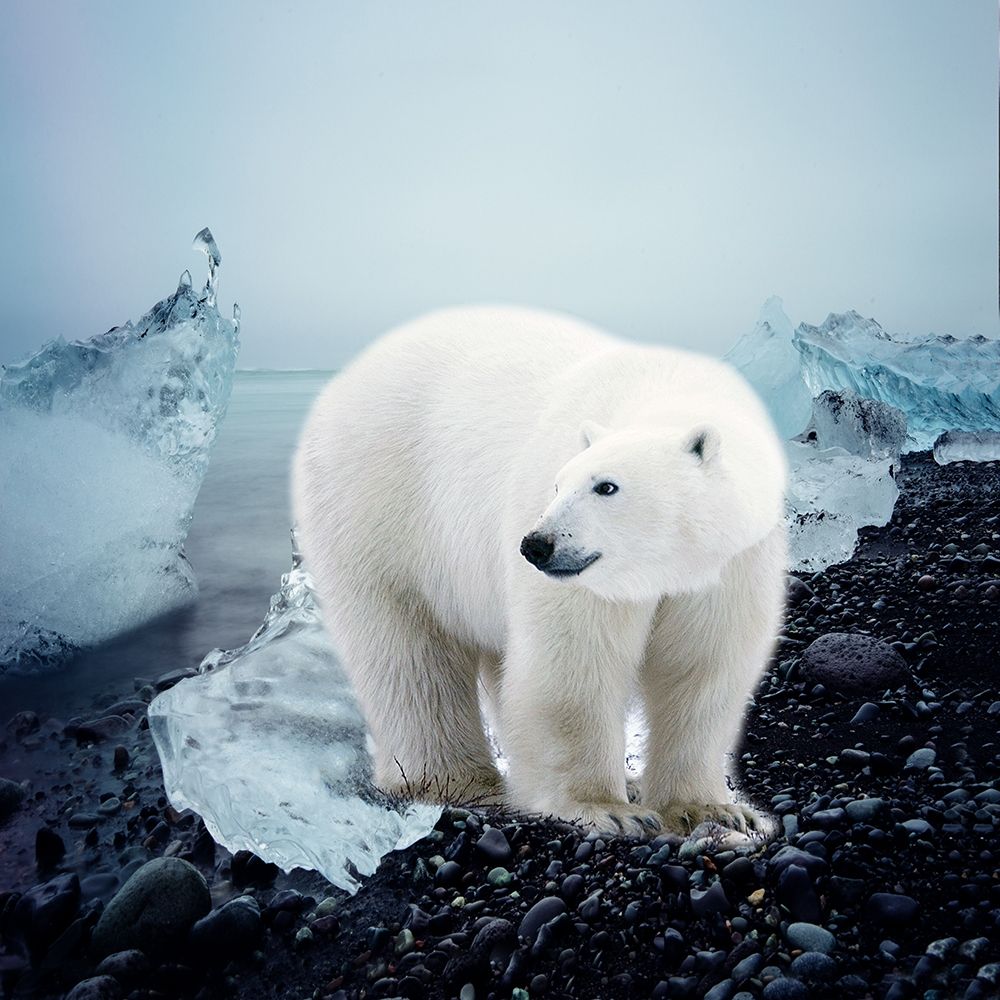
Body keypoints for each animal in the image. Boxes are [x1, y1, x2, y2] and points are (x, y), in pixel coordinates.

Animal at [291, 305, 788, 837]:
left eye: (606, 486)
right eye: (557, 484)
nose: (537, 545)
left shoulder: (731, 561)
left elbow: (703, 667)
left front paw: (710, 808)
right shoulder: (585, 581)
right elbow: (573, 664)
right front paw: (607, 808)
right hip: (379, 505)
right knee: (409, 652)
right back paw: (456, 781)